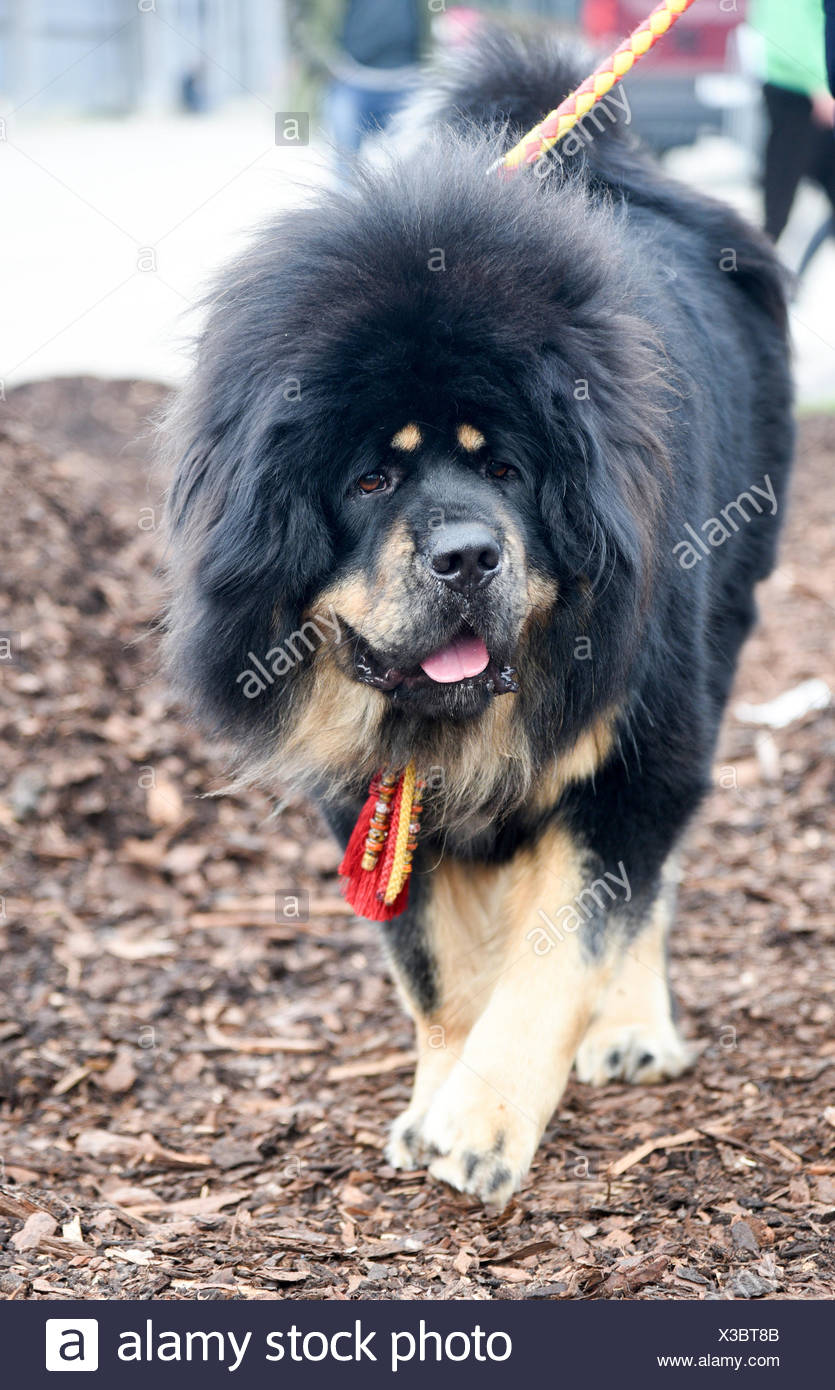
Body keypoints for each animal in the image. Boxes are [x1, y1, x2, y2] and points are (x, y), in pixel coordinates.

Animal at [164, 32, 794, 1206]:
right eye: (370, 479)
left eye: (505, 467)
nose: (465, 555)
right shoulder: (367, 786)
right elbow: (437, 971)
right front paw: (435, 1101)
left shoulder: (629, 756)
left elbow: (559, 949)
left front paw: (483, 1122)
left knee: (652, 885)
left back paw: (633, 1025)